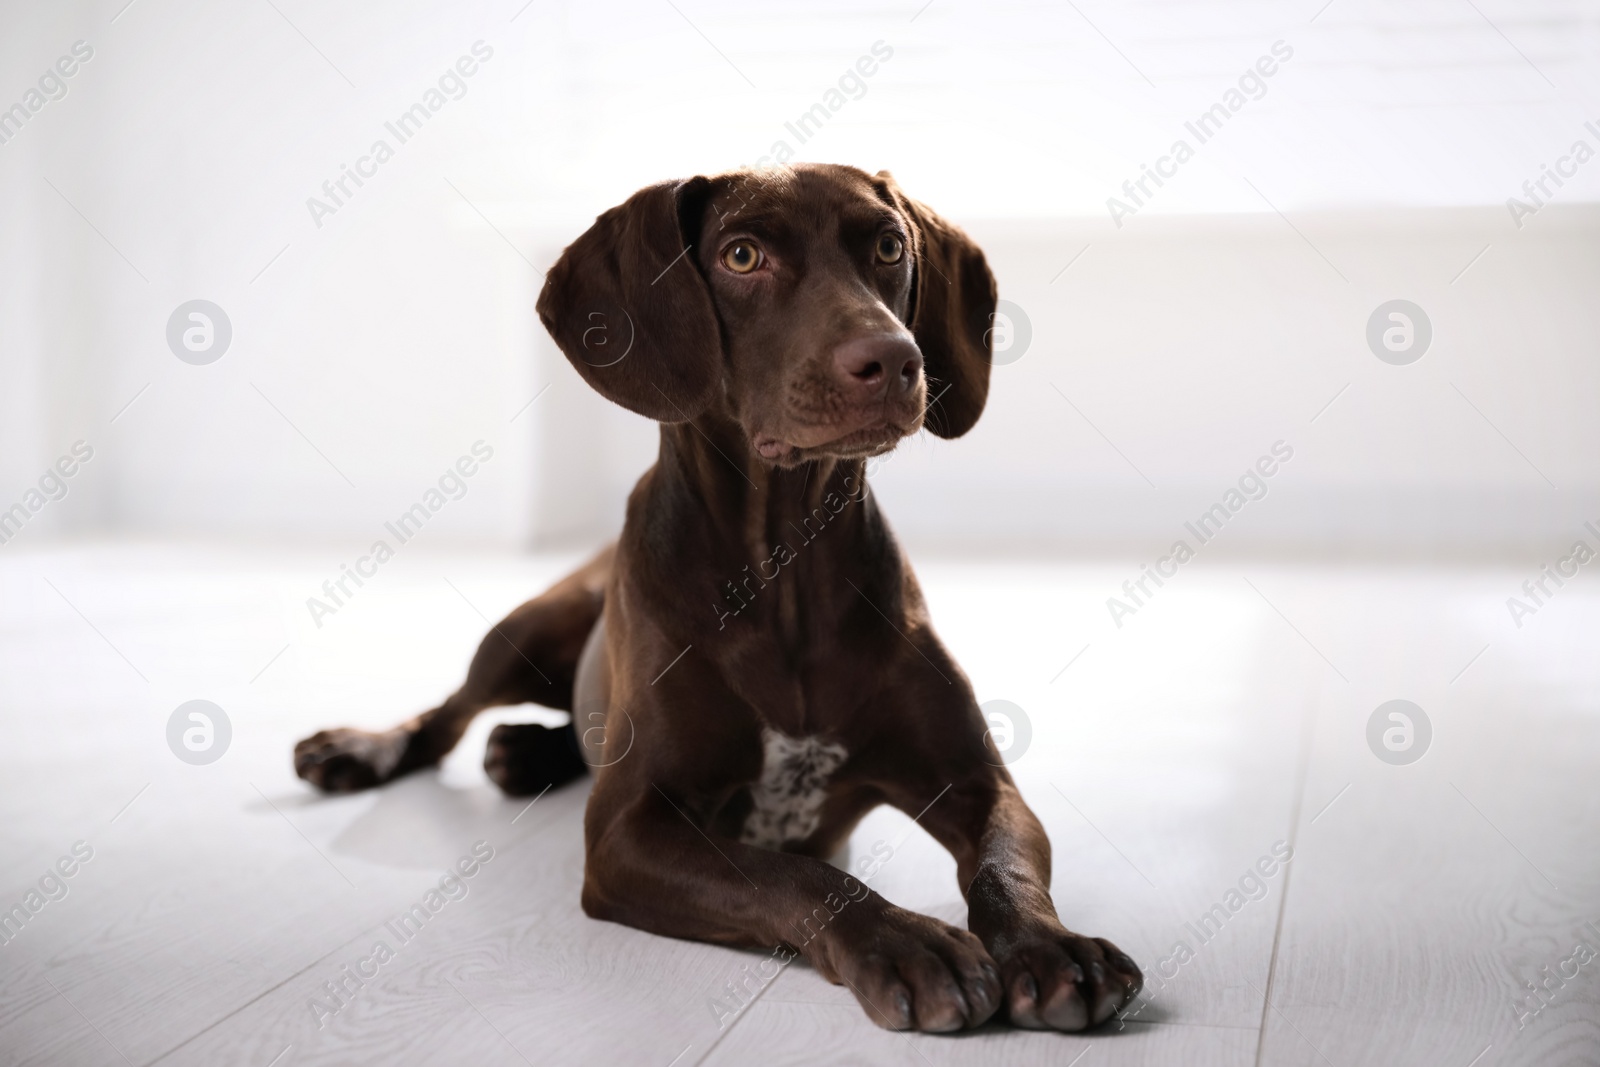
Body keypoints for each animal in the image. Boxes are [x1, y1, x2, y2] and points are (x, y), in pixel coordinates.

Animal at [294, 164, 1145, 1036]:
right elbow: (793, 876)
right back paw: (365, 749)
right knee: (446, 716)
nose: (894, 358)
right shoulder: (628, 833)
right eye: (742, 255)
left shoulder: (977, 781)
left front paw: (1051, 945)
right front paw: (907, 941)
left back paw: (528, 751)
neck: (786, 573)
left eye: (887, 245)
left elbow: (1008, 863)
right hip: (523, 631)